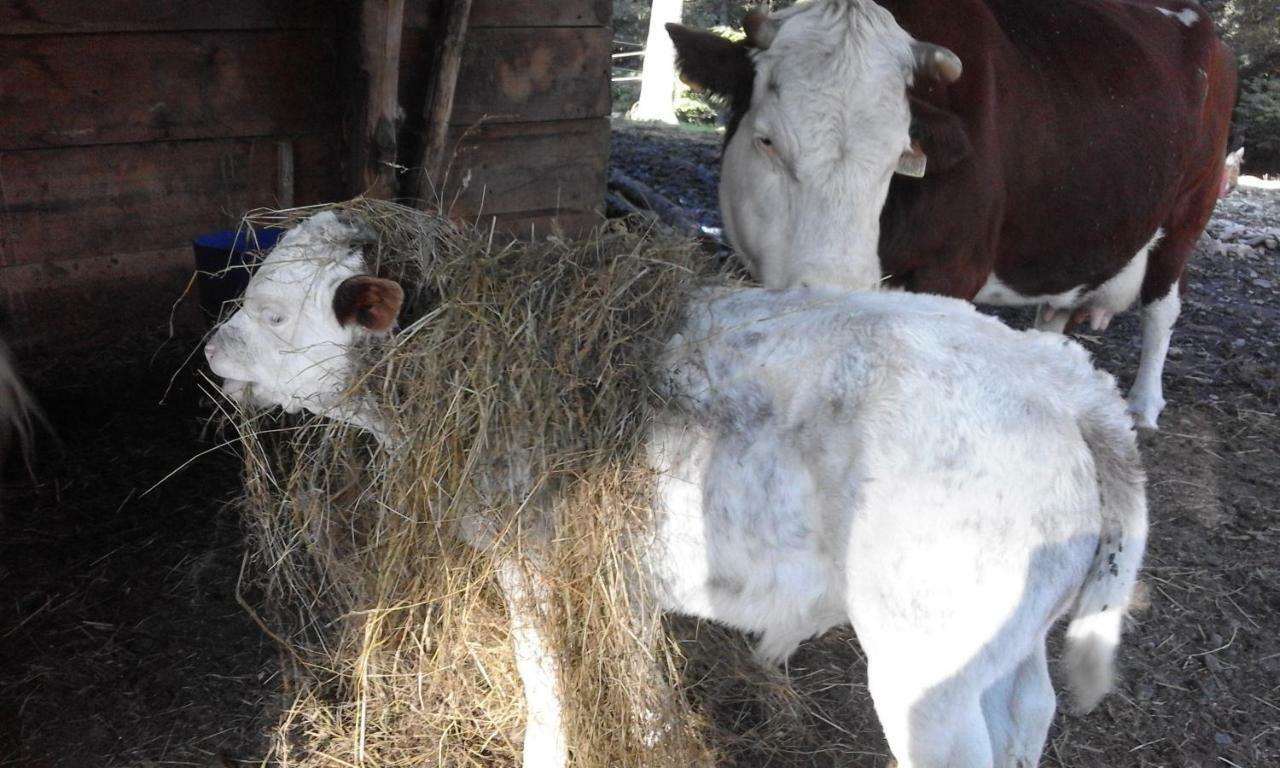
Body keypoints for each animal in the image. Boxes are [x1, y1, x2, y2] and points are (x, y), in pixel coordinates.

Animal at [209, 212, 1152, 768]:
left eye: (276, 314)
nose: (213, 352)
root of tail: (1063, 379)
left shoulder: (536, 564)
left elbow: (547, 685)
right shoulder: (616, 581)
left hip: (930, 664)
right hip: (1006, 643)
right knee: (1028, 711)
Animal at [670, 0, 1239, 430]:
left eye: (898, 156)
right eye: (766, 140)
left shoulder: (953, 269)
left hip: (1191, 206)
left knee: (1162, 306)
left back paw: (1143, 405)